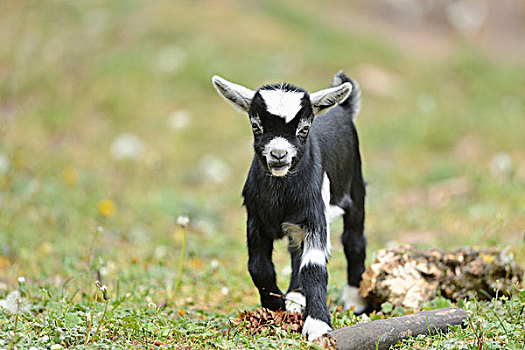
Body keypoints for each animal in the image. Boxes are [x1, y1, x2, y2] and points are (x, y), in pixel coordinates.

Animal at [211, 71, 366, 342]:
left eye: (304, 129)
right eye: (256, 126)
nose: (279, 155)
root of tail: (343, 109)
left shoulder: (315, 218)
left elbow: (314, 267)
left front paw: (317, 325)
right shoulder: (255, 220)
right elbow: (259, 266)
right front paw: (274, 308)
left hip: (355, 189)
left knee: (354, 240)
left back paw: (354, 301)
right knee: (296, 251)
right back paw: (295, 296)